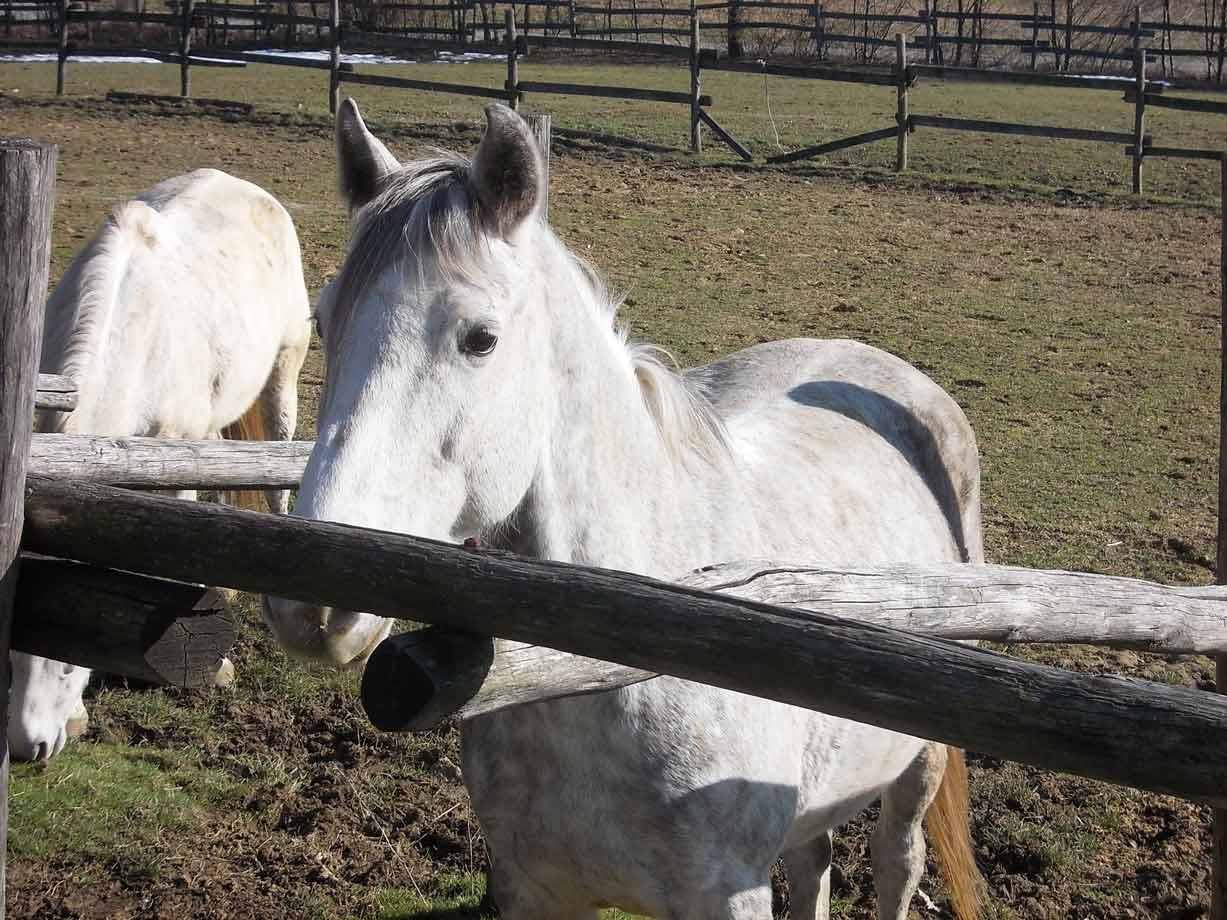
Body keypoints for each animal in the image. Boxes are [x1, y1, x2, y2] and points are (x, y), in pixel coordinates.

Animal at [14, 168, 312, 763]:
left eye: (68, 642)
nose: (25, 745)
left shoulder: (173, 461)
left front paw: (210, 667)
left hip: (283, 378)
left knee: (274, 480)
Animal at [264, 100, 985, 920]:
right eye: (323, 322)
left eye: (480, 339)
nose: (310, 594)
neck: (607, 669)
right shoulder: (533, 889)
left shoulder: (727, 895)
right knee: (815, 861)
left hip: (919, 762)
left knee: (899, 861)